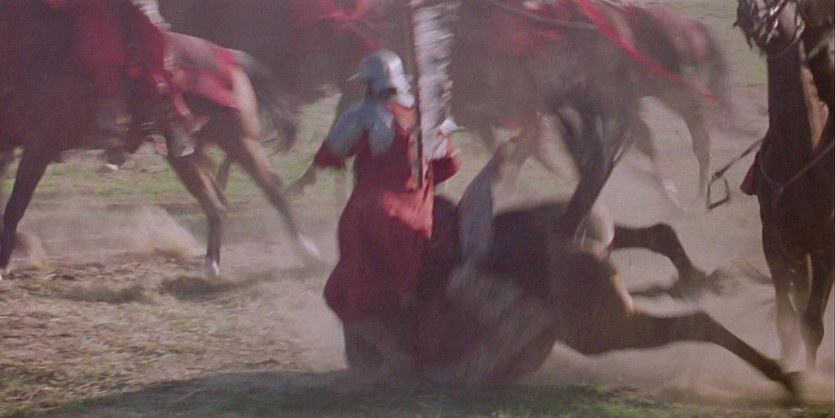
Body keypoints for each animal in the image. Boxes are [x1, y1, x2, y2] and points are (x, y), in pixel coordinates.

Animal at [0, 1, 320, 280]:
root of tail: (228, 56)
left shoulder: (40, 144)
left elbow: (15, 206)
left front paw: (4, 265)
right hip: (183, 152)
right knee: (214, 203)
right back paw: (211, 264)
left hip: (238, 137)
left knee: (272, 188)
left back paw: (308, 252)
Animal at [735, 0, 834, 371]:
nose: (750, 12)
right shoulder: (775, 241)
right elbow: (786, 320)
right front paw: (784, 368)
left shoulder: (825, 248)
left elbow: (812, 324)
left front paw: (807, 377)